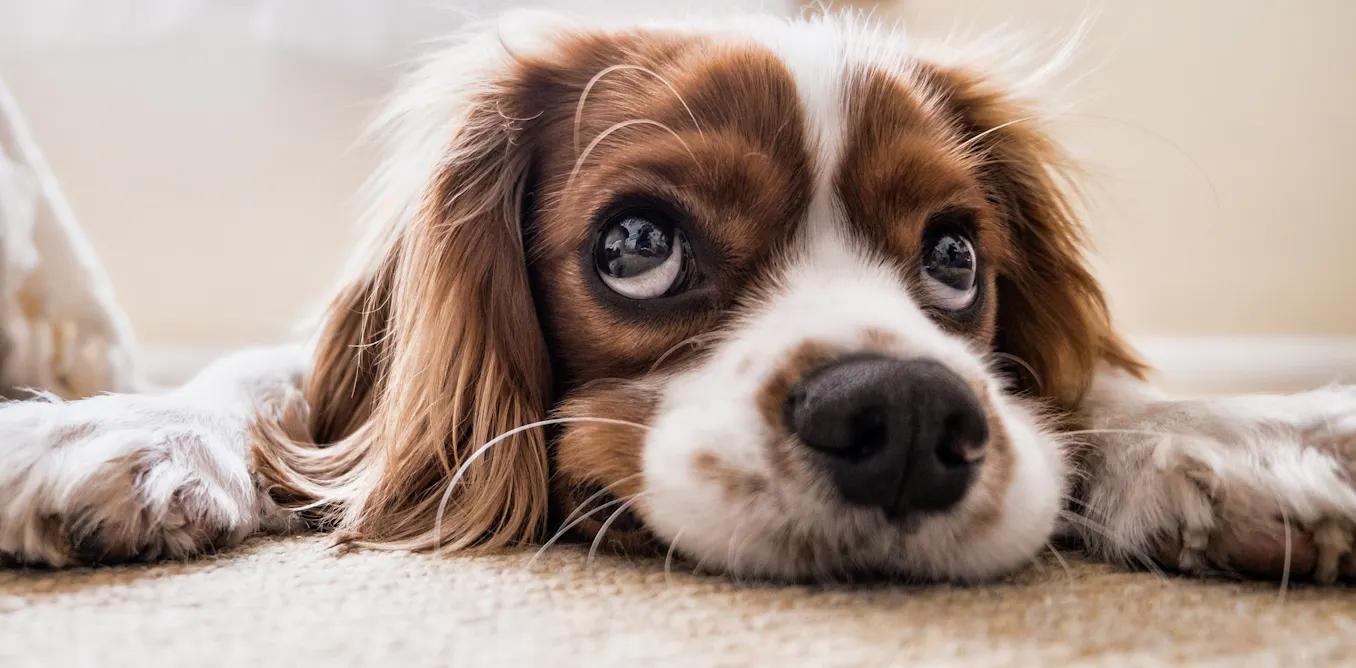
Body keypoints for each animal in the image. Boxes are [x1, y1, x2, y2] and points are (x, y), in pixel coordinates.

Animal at [2, 13, 1356, 579]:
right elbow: (270, 379)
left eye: (956, 258)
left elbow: (1093, 392)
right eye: (638, 243)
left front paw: (1241, 440)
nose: (909, 417)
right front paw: (117, 428)